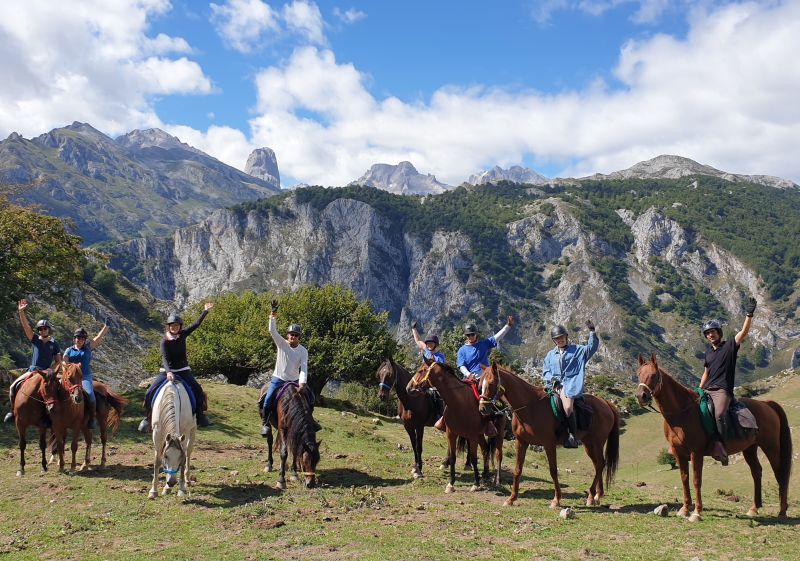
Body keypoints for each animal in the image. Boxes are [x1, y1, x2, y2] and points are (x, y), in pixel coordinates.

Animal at [478, 360, 620, 506]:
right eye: (479, 385)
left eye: (491, 383)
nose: (482, 408)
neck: (531, 407)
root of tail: (605, 403)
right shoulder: (521, 442)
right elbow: (518, 469)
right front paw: (511, 498)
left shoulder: (549, 444)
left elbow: (553, 470)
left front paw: (556, 500)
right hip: (589, 444)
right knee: (598, 464)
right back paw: (597, 495)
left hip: (597, 442)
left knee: (600, 464)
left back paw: (591, 495)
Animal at [636, 352, 792, 520]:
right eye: (638, 374)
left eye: (653, 375)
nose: (641, 396)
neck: (682, 413)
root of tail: (767, 404)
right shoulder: (679, 453)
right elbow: (684, 479)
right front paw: (684, 509)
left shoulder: (696, 452)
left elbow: (696, 480)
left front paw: (697, 512)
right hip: (750, 448)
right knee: (757, 472)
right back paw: (754, 508)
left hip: (771, 446)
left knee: (780, 474)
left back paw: (782, 512)